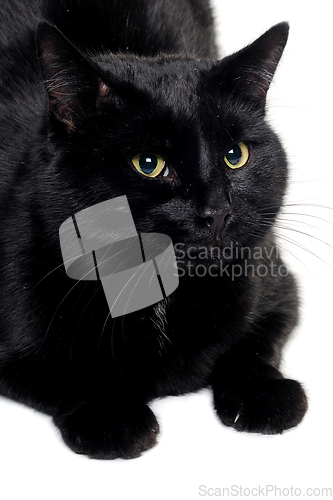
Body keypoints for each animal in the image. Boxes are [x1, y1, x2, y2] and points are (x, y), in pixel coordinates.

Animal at [0, 0, 306, 460]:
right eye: (148, 164)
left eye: (235, 155)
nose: (217, 211)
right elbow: (68, 373)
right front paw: (113, 417)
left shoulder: (279, 290)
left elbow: (255, 346)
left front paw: (267, 395)